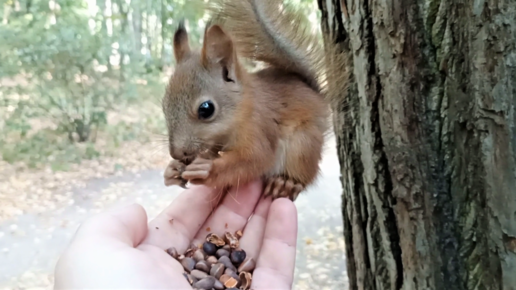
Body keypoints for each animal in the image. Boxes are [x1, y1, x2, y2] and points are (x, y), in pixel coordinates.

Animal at [161, 0, 346, 202]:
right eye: (164, 105)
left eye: (206, 109)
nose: (176, 153)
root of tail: (317, 97)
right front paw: (172, 169)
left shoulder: (258, 127)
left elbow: (256, 158)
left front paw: (207, 169)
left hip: (303, 143)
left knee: (303, 173)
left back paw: (286, 183)